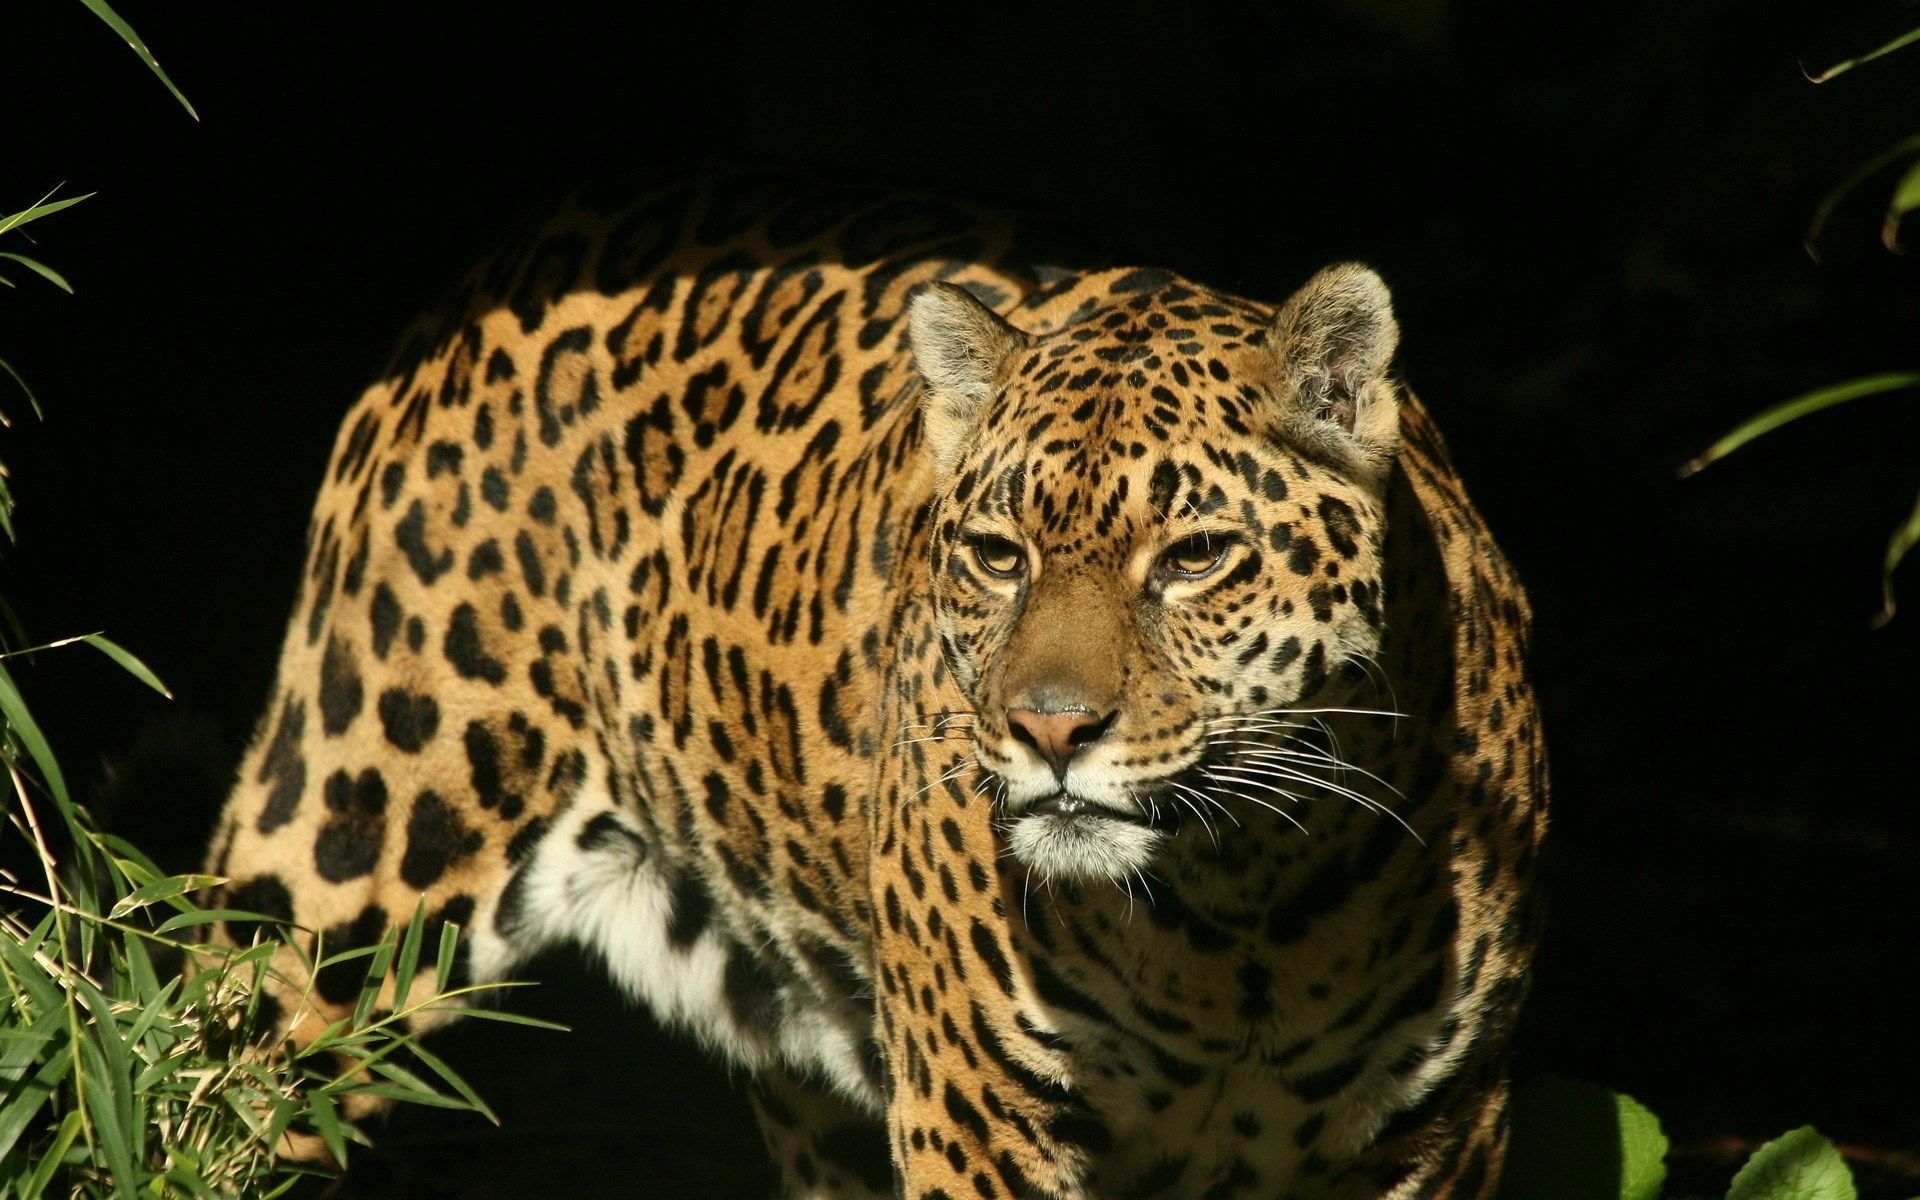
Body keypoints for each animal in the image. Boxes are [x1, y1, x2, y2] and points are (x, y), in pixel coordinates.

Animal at [203, 165, 1548, 1199]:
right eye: (999, 556)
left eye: (1196, 556)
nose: (1050, 730)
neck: (1245, 910)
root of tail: (521, 252)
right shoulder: (982, 1122)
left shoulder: (1440, 1136)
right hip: (341, 886)